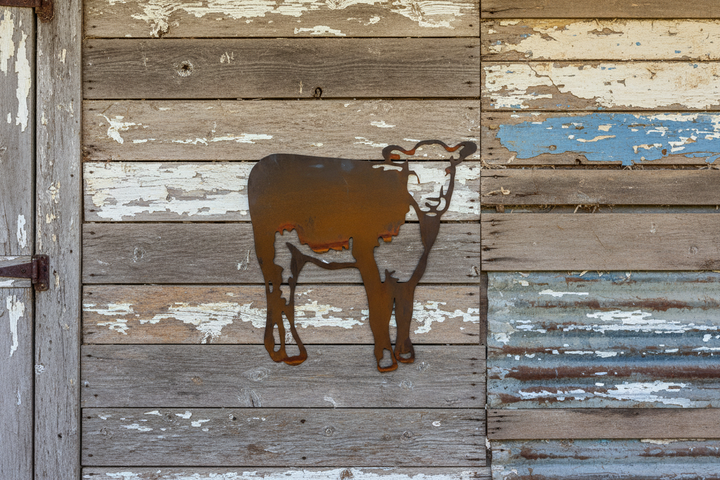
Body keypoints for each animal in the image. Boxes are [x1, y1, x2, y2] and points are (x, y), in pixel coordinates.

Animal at [248, 140, 477, 372]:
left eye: (448, 169)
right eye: (411, 173)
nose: (432, 201)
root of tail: (262, 163)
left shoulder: (409, 271)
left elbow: (404, 311)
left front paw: (404, 354)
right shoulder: (365, 253)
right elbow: (378, 311)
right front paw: (386, 359)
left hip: (293, 253)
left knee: (285, 297)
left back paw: (290, 353)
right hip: (268, 246)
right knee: (275, 294)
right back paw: (280, 351)